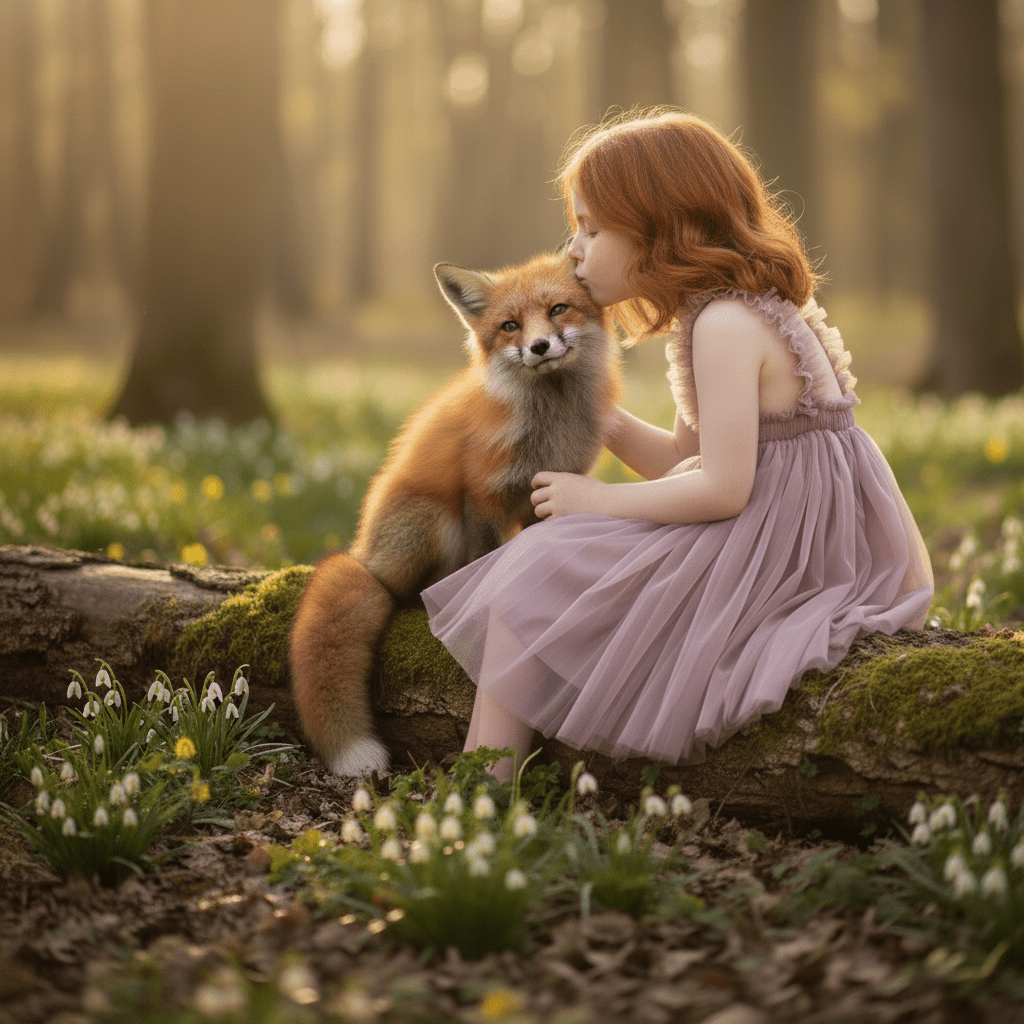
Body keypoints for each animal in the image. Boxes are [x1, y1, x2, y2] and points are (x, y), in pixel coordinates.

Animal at [288, 251, 621, 775]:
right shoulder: (482, 494)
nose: (539, 346)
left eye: (558, 309)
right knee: (406, 592)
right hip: (434, 521)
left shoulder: (547, 492)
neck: (549, 422)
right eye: (509, 325)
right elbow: (484, 559)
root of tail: (364, 555)